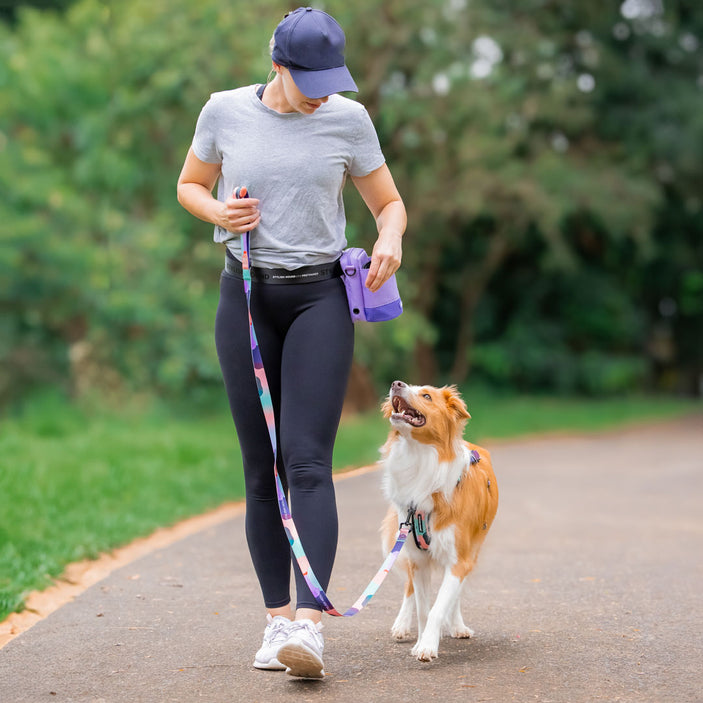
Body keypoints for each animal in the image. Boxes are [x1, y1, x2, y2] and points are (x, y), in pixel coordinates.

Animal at [382, 380, 498, 660]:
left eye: (426, 396)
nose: (396, 383)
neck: (420, 458)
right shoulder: (418, 559)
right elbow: (423, 608)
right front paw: (421, 641)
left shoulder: (459, 558)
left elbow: (440, 604)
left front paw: (428, 645)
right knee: (409, 589)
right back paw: (402, 625)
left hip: (472, 550)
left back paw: (457, 625)